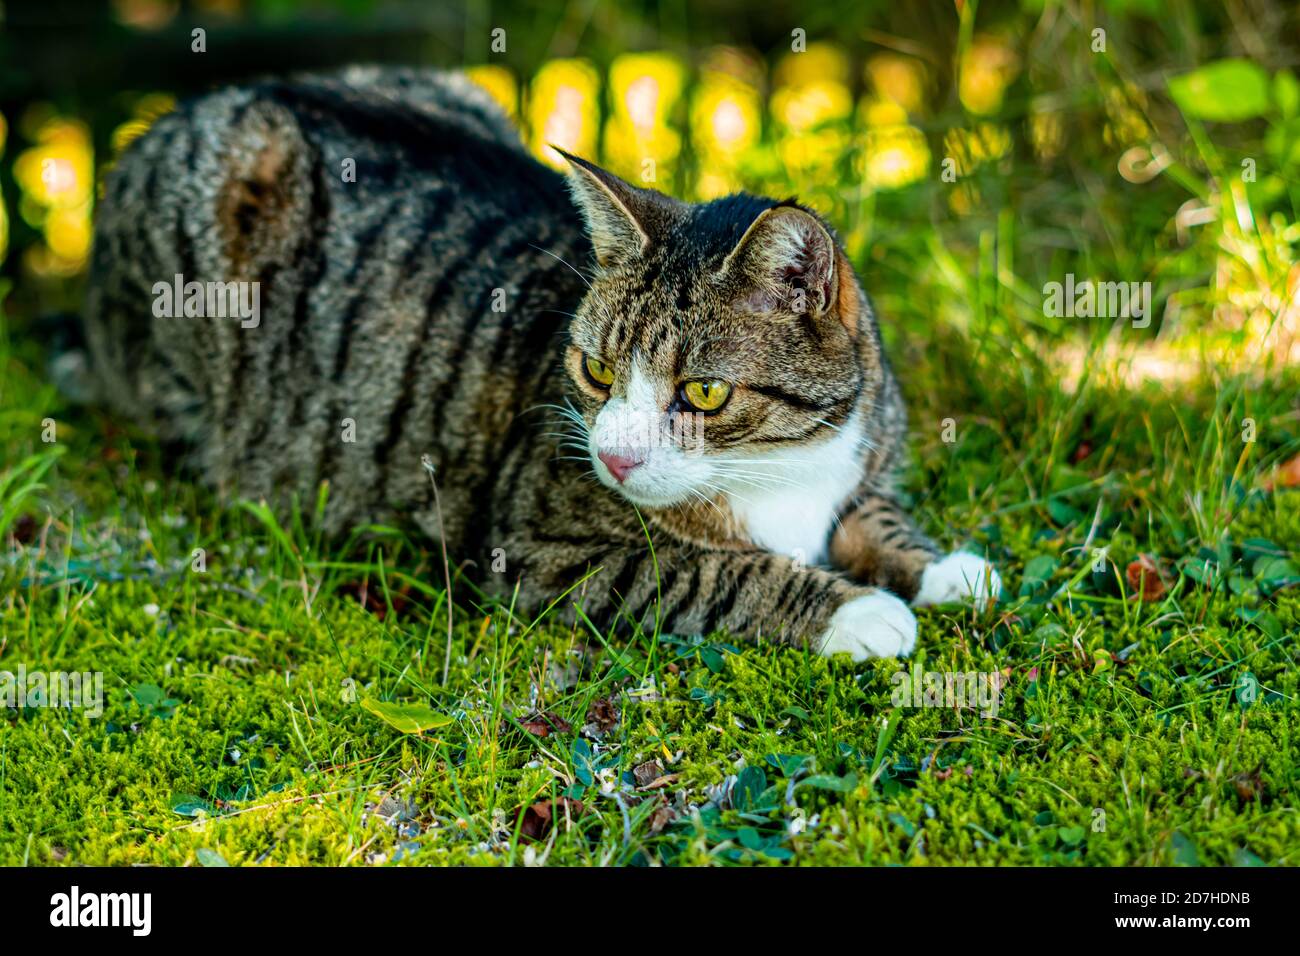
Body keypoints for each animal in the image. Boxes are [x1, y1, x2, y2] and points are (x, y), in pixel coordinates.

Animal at [86, 65, 998, 658]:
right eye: (596, 372)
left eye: (704, 392)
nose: (615, 458)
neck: (783, 474)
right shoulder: (541, 548)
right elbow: (719, 573)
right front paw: (858, 612)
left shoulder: (860, 457)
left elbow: (876, 518)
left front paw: (940, 569)